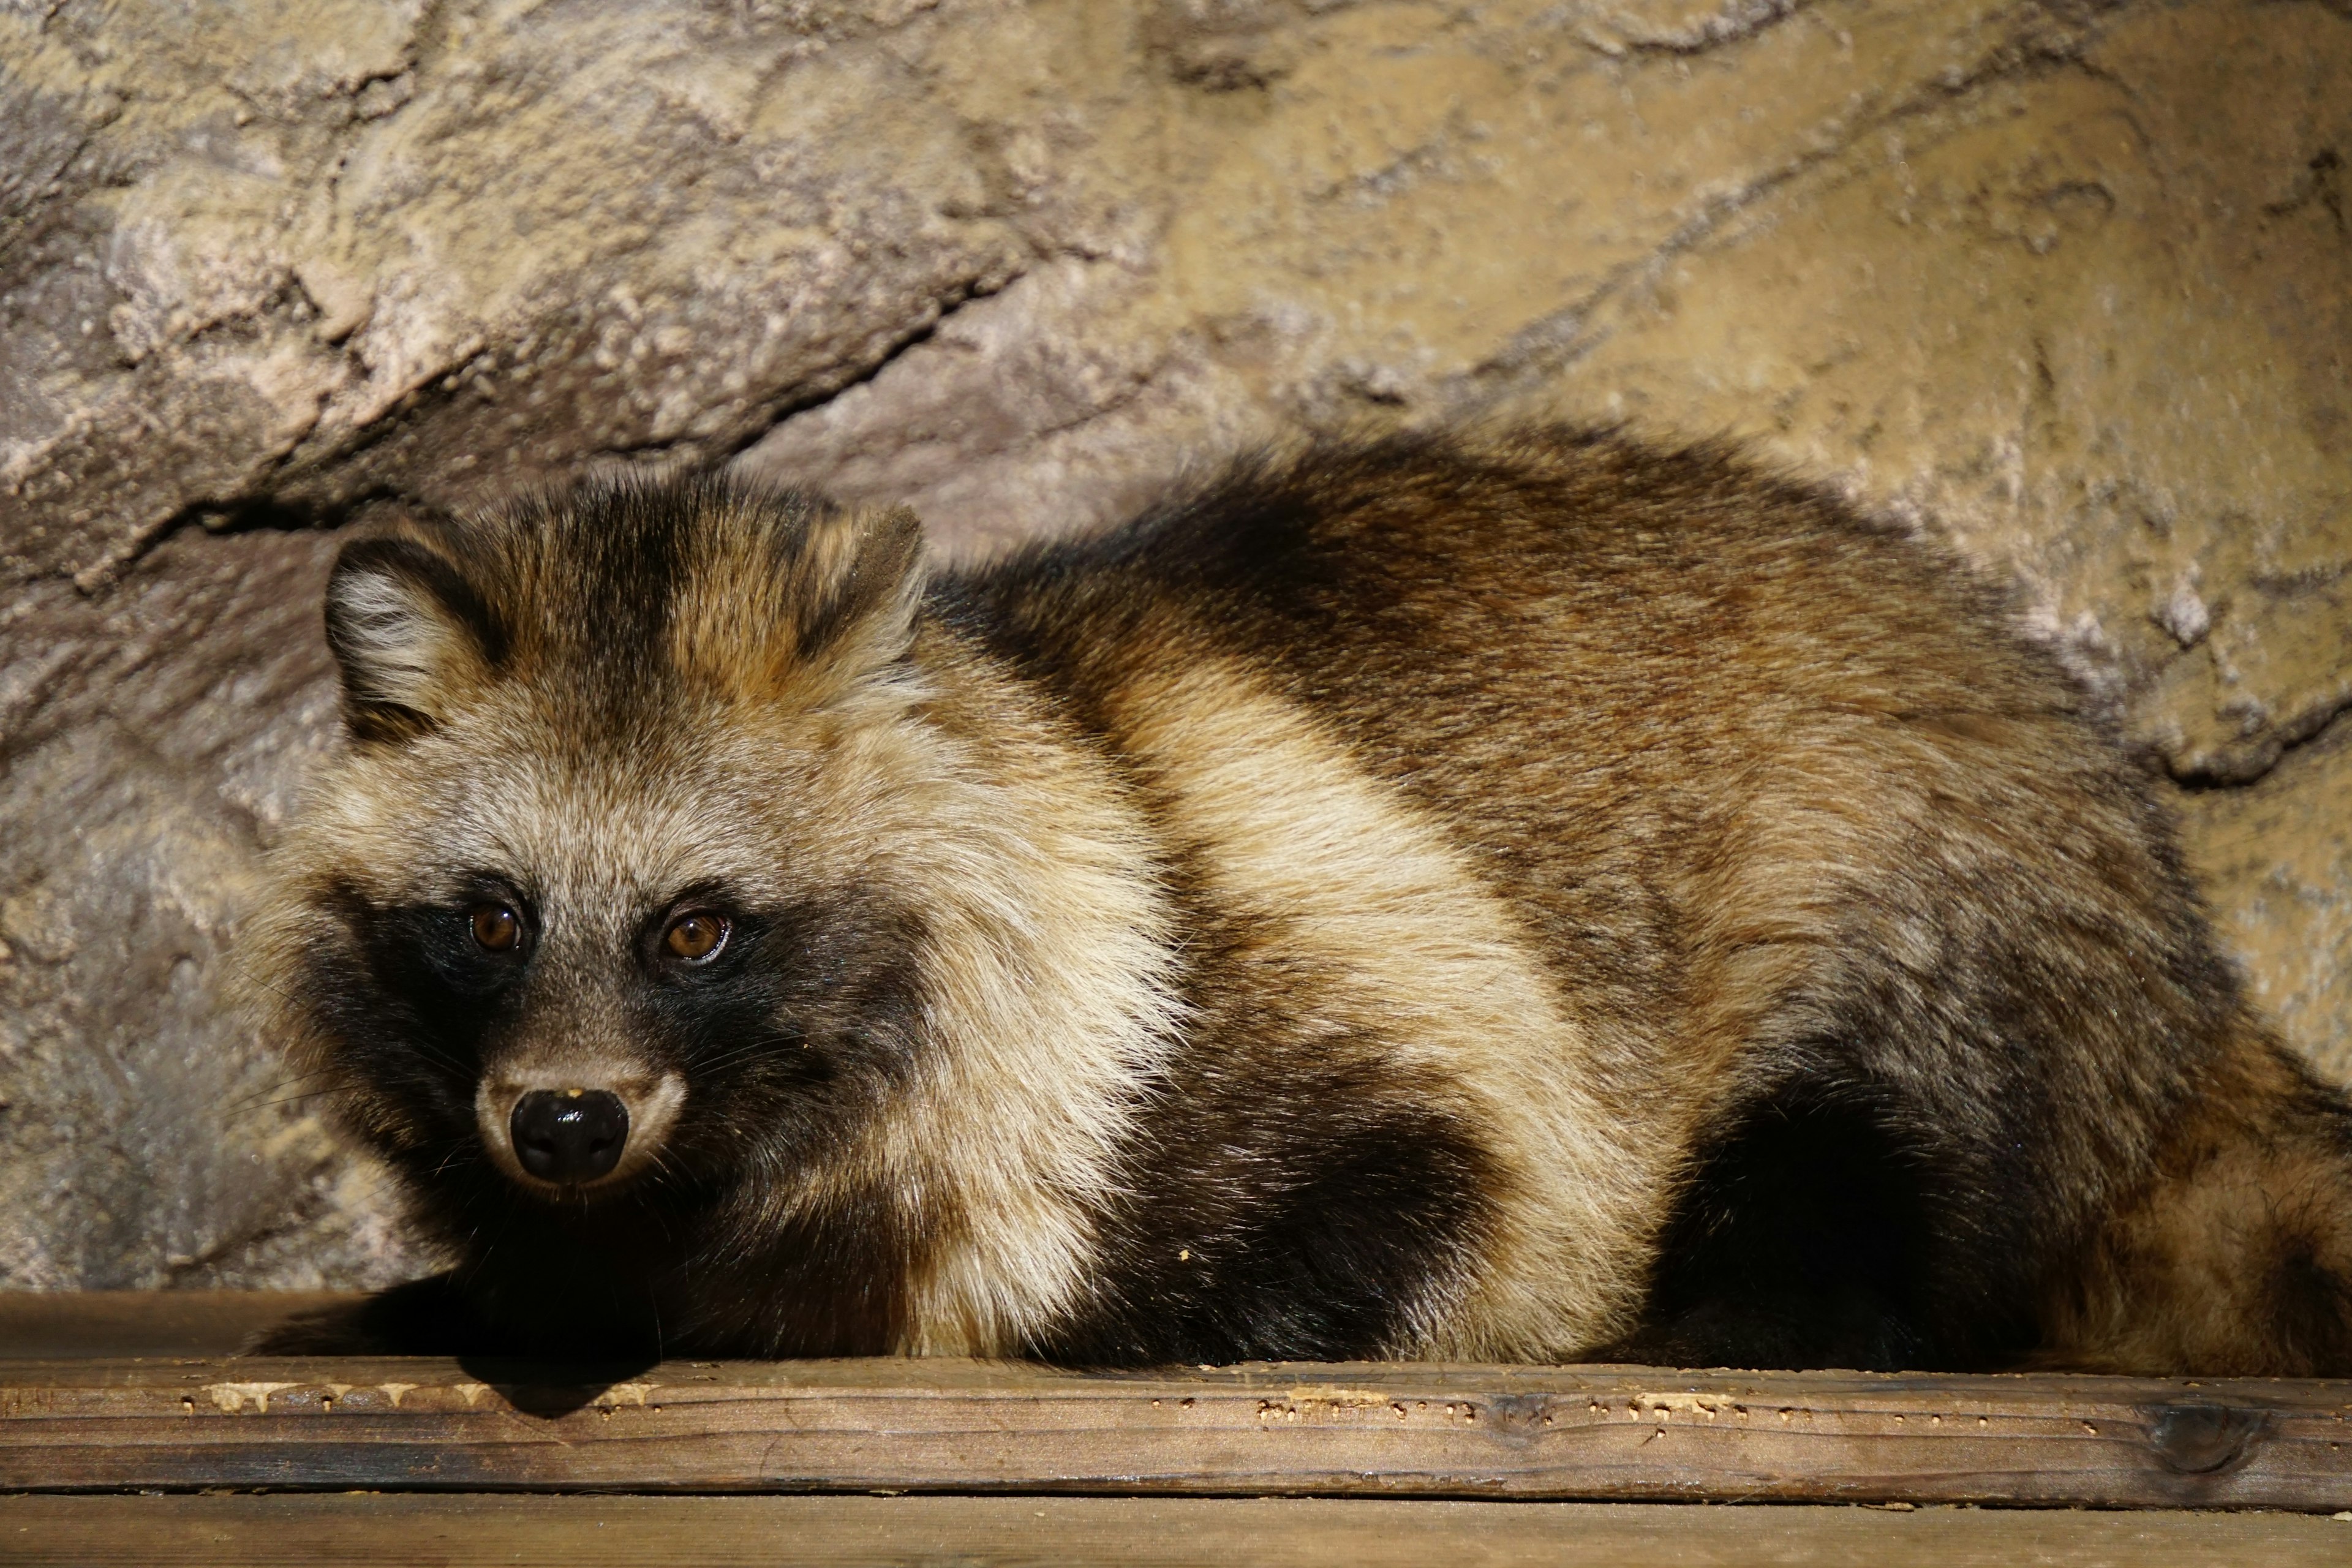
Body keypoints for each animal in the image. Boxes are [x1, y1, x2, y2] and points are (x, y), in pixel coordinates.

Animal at [248, 430, 2352, 1373]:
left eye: (696, 927)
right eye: (491, 918)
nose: (564, 1123)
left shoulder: (1376, 1026)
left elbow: (1405, 1214)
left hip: (1927, 918)